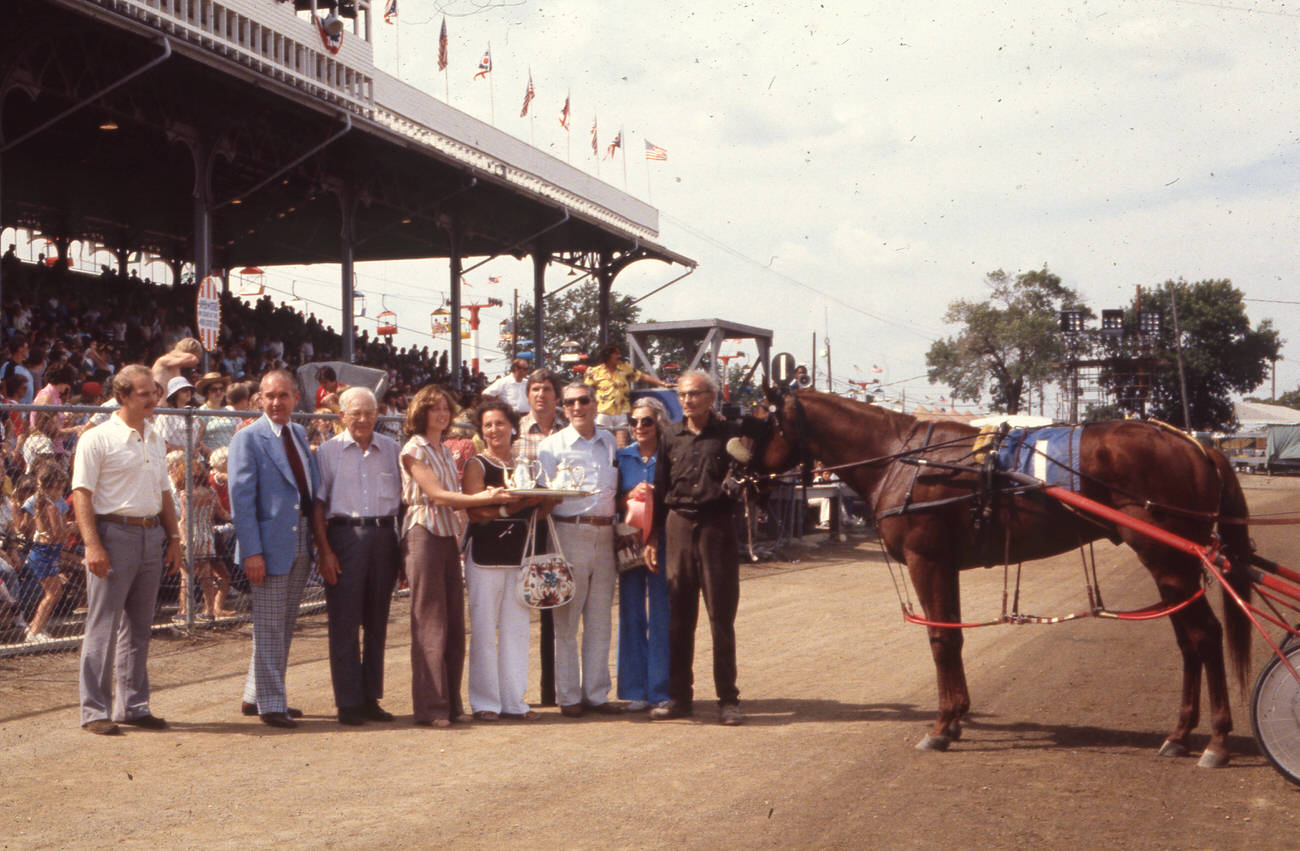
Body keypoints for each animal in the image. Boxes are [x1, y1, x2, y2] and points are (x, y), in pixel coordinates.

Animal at [748, 387, 1253, 763]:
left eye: (756, 421)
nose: (744, 478)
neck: (904, 459)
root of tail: (1194, 445)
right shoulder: (944, 564)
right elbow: (952, 636)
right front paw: (955, 718)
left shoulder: (926, 560)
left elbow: (940, 638)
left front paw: (941, 725)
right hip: (1173, 566)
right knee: (1189, 641)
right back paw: (1180, 734)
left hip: (1168, 559)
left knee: (1205, 636)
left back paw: (1216, 741)